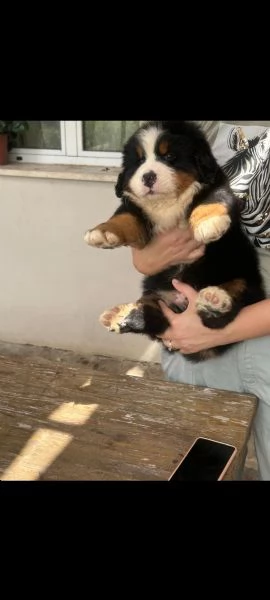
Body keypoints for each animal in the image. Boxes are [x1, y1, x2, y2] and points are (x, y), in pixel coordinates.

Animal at [84, 119, 266, 358]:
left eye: (169, 156)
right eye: (139, 160)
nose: (148, 176)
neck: (168, 203)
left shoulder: (217, 186)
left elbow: (212, 199)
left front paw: (209, 223)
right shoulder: (138, 216)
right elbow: (124, 216)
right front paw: (103, 232)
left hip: (247, 280)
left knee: (229, 304)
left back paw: (215, 300)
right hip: (156, 295)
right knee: (154, 318)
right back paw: (120, 315)